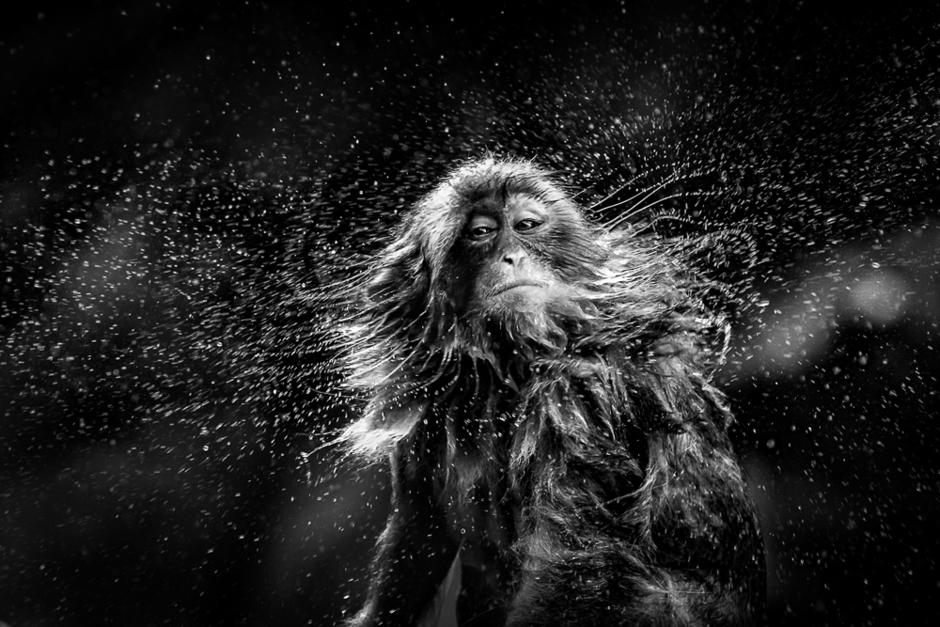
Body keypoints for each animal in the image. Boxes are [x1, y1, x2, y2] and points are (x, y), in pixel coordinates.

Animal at [335, 158, 766, 626]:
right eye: (481, 232)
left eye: (525, 225)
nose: (513, 256)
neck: (512, 369)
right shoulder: (428, 407)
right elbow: (419, 536)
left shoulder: (576, 395)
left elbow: (575, 557)